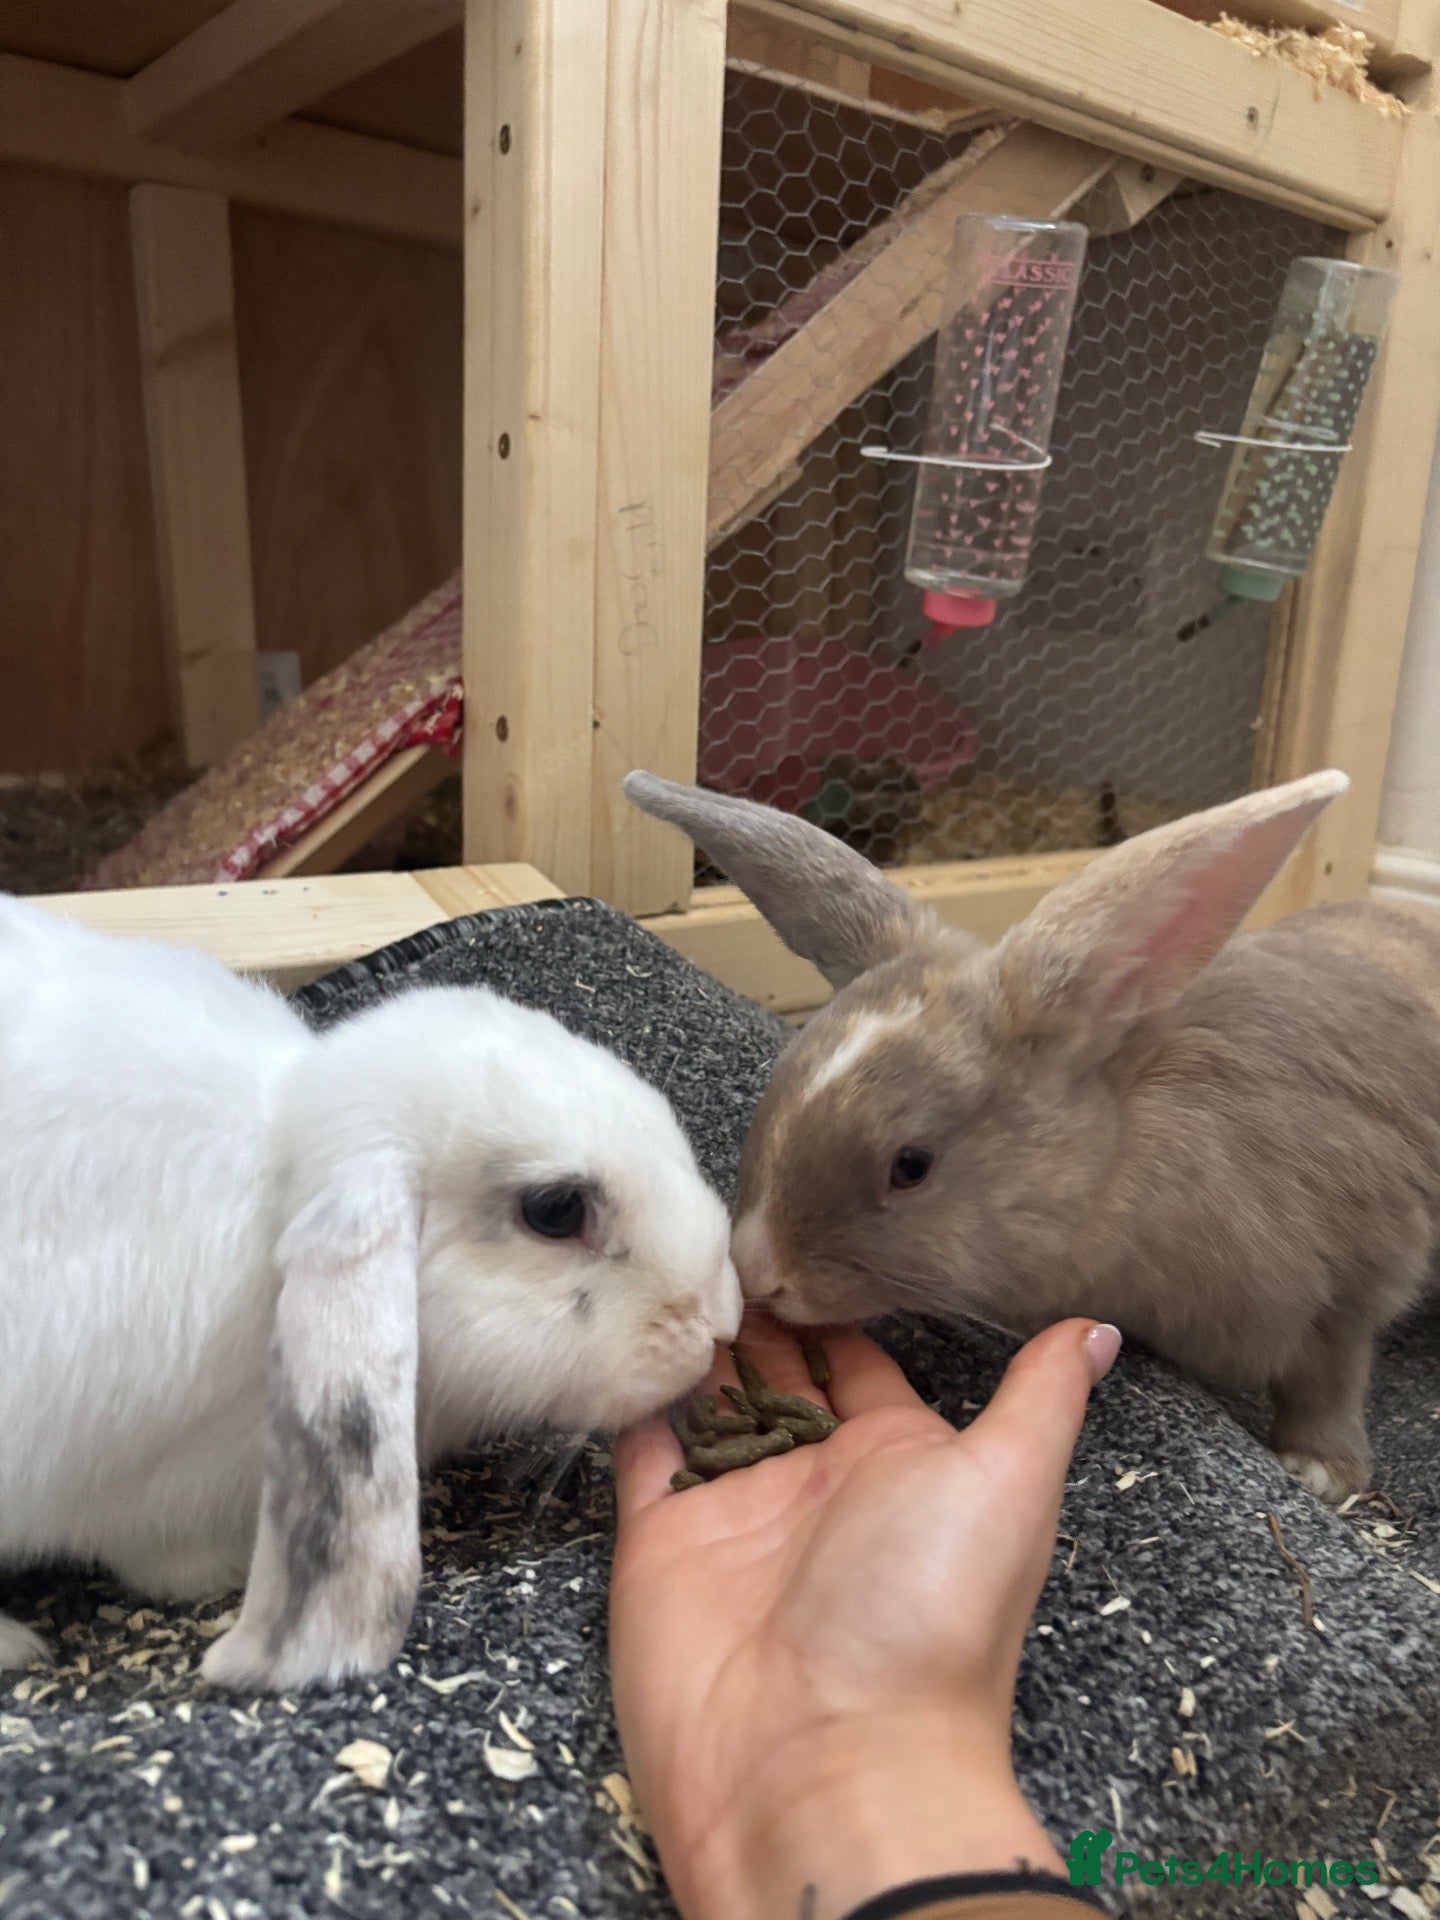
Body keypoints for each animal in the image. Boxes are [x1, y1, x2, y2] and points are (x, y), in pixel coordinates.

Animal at [625, 766, 1440, 1505]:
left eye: (911, 1165)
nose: (759, 1271)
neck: (1120, 1160)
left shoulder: (1363, 1270)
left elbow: (1333, 1370)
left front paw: (1322, 1471)